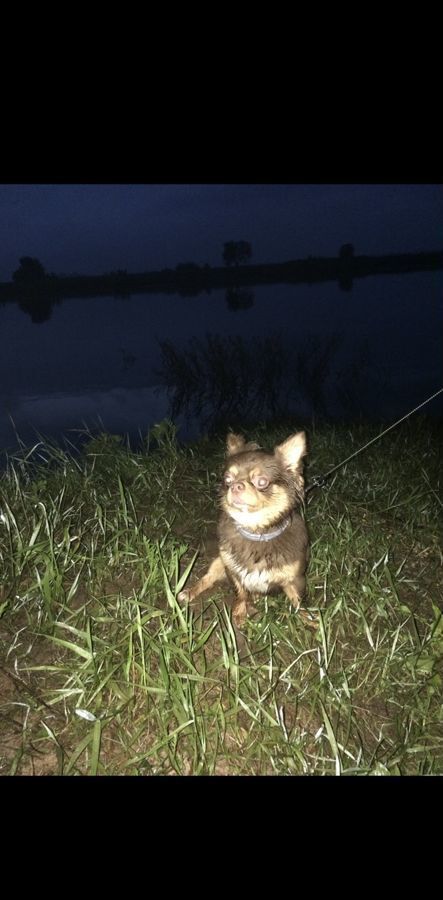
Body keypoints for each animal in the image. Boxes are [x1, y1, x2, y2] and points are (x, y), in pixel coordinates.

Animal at [177, 432, 316, 628]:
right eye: (228, 480)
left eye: (261, 481)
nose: (236, 486)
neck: (256, 532)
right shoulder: (233, 570)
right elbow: (241, 592)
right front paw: (240, 612)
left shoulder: (295, 578)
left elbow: (299, 601)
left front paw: (310, 620)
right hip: (219, 561)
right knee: (208, 578)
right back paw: (189, 592)